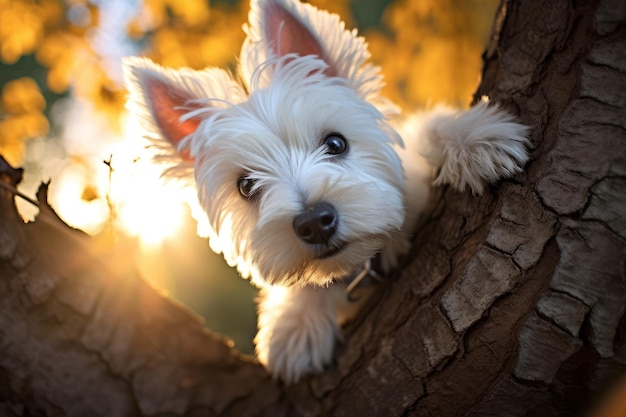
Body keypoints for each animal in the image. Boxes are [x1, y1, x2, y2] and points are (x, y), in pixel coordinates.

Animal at [122, 0, 528, 382]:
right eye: (246, 186)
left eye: (335, 142)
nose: (315, 222)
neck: (368, 261)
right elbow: (311, 282)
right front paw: (294, 326)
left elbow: (427, 127)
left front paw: (476, 139)